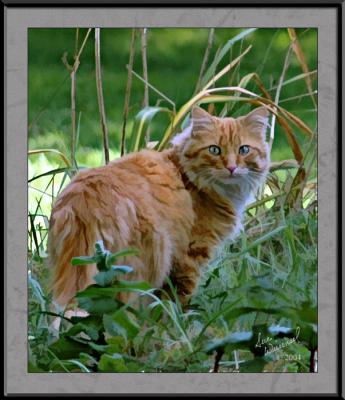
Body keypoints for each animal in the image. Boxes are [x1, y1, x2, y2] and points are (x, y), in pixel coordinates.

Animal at [48, 105, 268, 306]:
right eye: (214, 150)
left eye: (244, 150)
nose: (231, 168)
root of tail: (83, 202)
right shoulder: (190, 258)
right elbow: (176, 304)